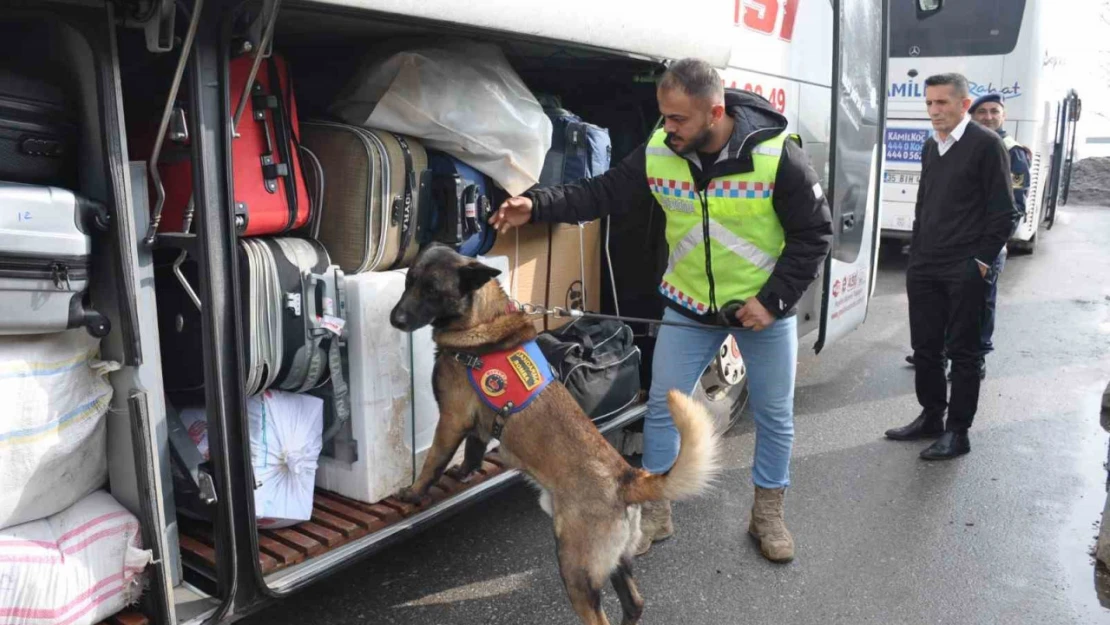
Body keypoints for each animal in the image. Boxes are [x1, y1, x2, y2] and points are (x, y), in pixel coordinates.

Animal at [390, 247, 719, 621]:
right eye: (409, 281)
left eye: (432, 290)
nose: (395, 319)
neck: (482, 322)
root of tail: (627, 477)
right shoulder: (476, 426)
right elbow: (472, 452)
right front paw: (463, 473)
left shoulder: (452, 420)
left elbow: (432, 463)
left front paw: (414, 493)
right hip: (614, 562)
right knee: (634, 603)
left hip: (575, 568)